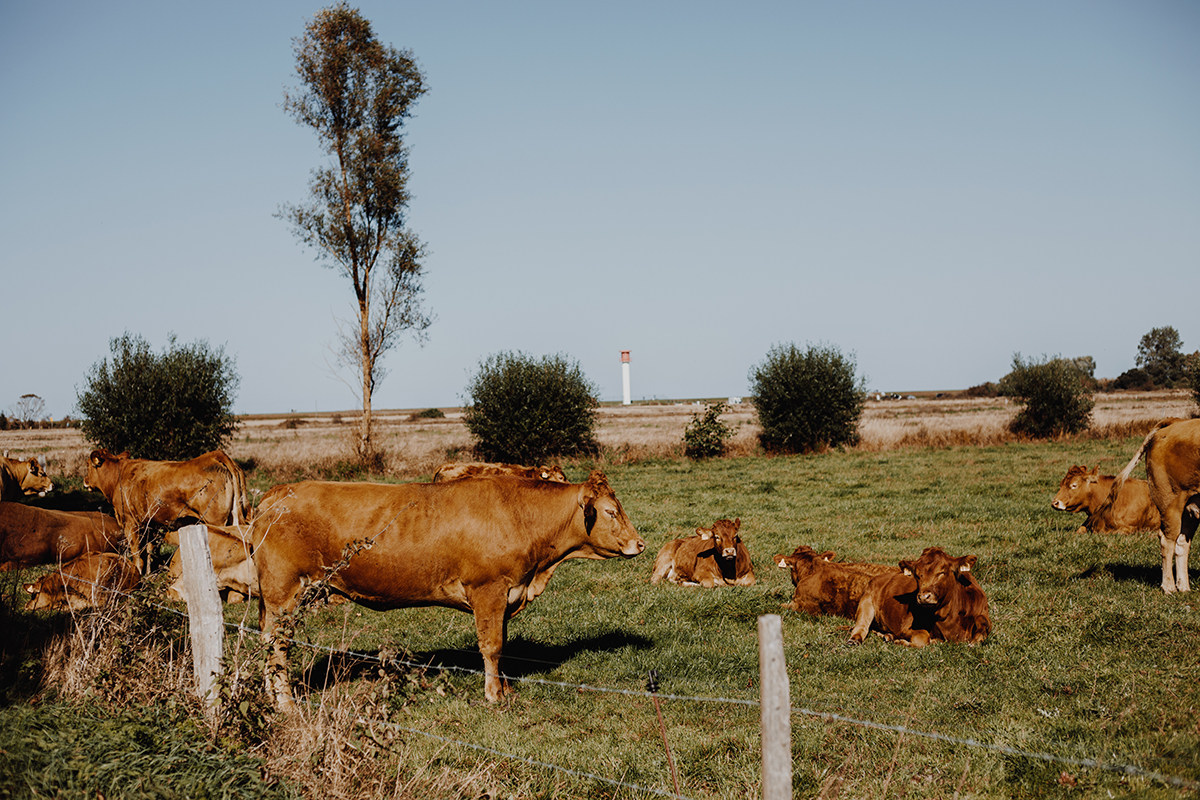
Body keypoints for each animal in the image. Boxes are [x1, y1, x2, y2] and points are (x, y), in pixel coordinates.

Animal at [82, 450, 253, 575]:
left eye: (88, 465)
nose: (85, 481)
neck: (118, 476)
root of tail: (214, 455)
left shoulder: (130, 523)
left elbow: (137, 553)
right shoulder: (149, 523)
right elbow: (149, 551)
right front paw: (149, 575)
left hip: (216, 520)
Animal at [250, 470, 648, 705]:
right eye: (611, 511)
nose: (640, 544)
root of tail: (280, 492)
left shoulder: (506, 596)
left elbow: (501, 645)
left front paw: (504, 687)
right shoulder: (488, 590)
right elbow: (491, 646)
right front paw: (493, 696)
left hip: (274, 599)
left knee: (267, 641)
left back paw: (272, 694)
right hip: (285, 592)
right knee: (278, 644)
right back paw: (285, 701)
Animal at [844, 546, 993, 647]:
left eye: (942, 572)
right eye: (916, 574)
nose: (923, 597)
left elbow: (982, 626)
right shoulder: (906, 627)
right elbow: (923, 637)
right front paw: (902, 642)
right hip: (866, 603)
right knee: (861, 627)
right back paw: (856, 640)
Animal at [1108, 419, 1200, 594]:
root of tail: (1176, 421)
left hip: (1189, 508)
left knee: (1181, 543)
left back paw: (1183, 587)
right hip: (1171, 502)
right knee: (1167, 541)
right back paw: (1169, 587)